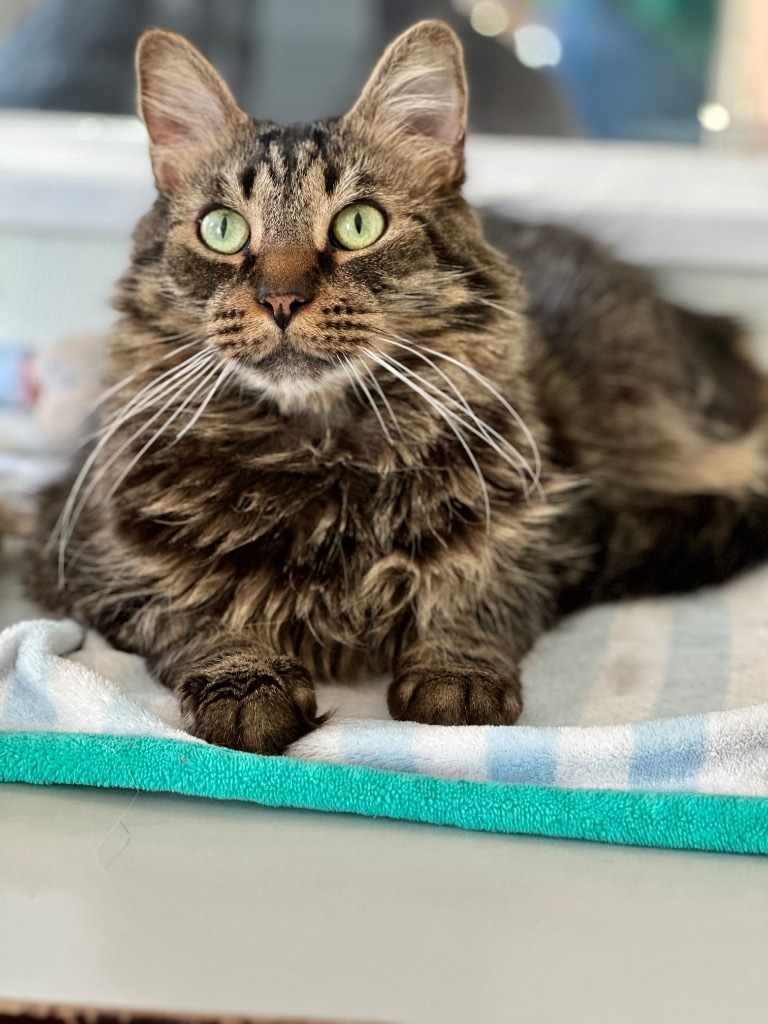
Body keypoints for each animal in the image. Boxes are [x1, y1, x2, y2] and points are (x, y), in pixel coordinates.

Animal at [24, 16, 768, 753]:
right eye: (223, 229)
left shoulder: (548, 533)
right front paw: (245, 687)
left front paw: (455, 677)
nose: (281, 299)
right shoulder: (89, 557)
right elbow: (193, 614)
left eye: (358, 224)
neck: (318, 454)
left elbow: (474, 596)